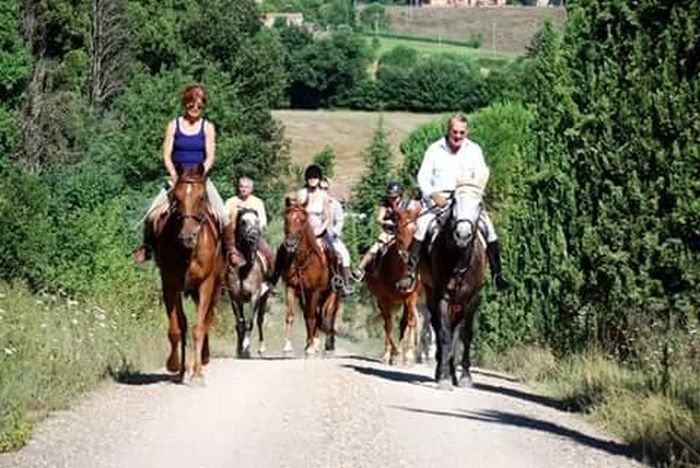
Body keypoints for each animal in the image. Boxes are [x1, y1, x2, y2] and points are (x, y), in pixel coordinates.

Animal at [153, 165, 224, 384]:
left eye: (202, 197)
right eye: (176, 197)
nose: (187, 236)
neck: (188, 252)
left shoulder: (206, 286)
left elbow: (199, 327)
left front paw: (197, 374)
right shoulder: (170, 286)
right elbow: (177, 328)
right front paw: (176, 366)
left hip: (215, 289)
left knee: (207, 320)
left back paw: (203, 360)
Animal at [226, 208, 270, 358]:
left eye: (257, 221)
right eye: (243, 222)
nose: (253, 237)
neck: (243, 268)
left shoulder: (254, 296)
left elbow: (250, 323)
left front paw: (246, 348)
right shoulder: (235, 298)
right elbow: (240, 323)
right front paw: (240, 349)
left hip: (264, 297)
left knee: (260, 320)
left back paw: (261, 348)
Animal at [278, 202, 340, 358]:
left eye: (301, 220)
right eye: (286, 218)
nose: (290, 244)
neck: (302, 261)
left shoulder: (315, 291)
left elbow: (313, 318)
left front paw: (311, 349)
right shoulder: (291, 288)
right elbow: (291, 316)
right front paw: (287, 348)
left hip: (331, 297)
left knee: (327, 317)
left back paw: (325, 347)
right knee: (313, 317)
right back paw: (312, 343)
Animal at [364, 202, 424, 366]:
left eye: (415, 230)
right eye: (400, 230)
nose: (408, 256)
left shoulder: (411, 297)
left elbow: (410, 322)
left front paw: (407, 355)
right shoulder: (384, 299)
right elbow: (389, 325)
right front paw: (391, 354)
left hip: (400, 302)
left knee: (405, 322)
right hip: (388, 301)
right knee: (387, 323)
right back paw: (391, 353)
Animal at [418, 183, 490, 392]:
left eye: (479, 203)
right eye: (455, 201)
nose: (463, 234)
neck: (459, 259)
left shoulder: (471, 299)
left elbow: (465, 335)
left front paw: (465, 376)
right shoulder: (443, 297)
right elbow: (444, 334)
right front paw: (443, 378)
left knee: (455, 330)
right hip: (431, 295)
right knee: (440, 327)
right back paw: (442, 371)